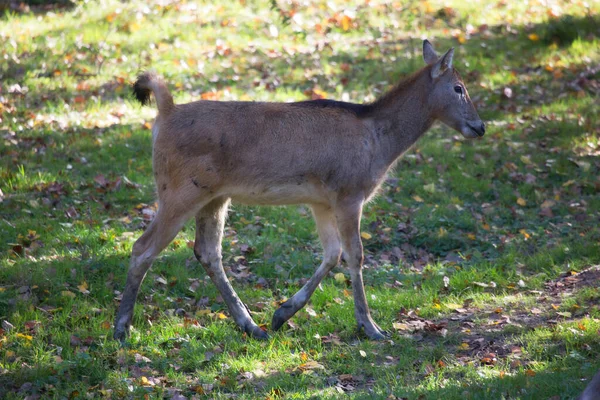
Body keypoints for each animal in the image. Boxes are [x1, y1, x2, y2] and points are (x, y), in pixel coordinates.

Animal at [115, 39, 486, 340]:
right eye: (458, 87)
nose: (480, 126)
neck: (380, 143)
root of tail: (165, 114)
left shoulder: (321, 201)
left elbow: (332, 253)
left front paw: (281, 314)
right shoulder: (350, 192)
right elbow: (355, 254)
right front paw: (370, 327)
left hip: (214, 196)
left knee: (207, 252)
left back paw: (252, 326)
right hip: (178, 190)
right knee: (142, 247)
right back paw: (122, 328)